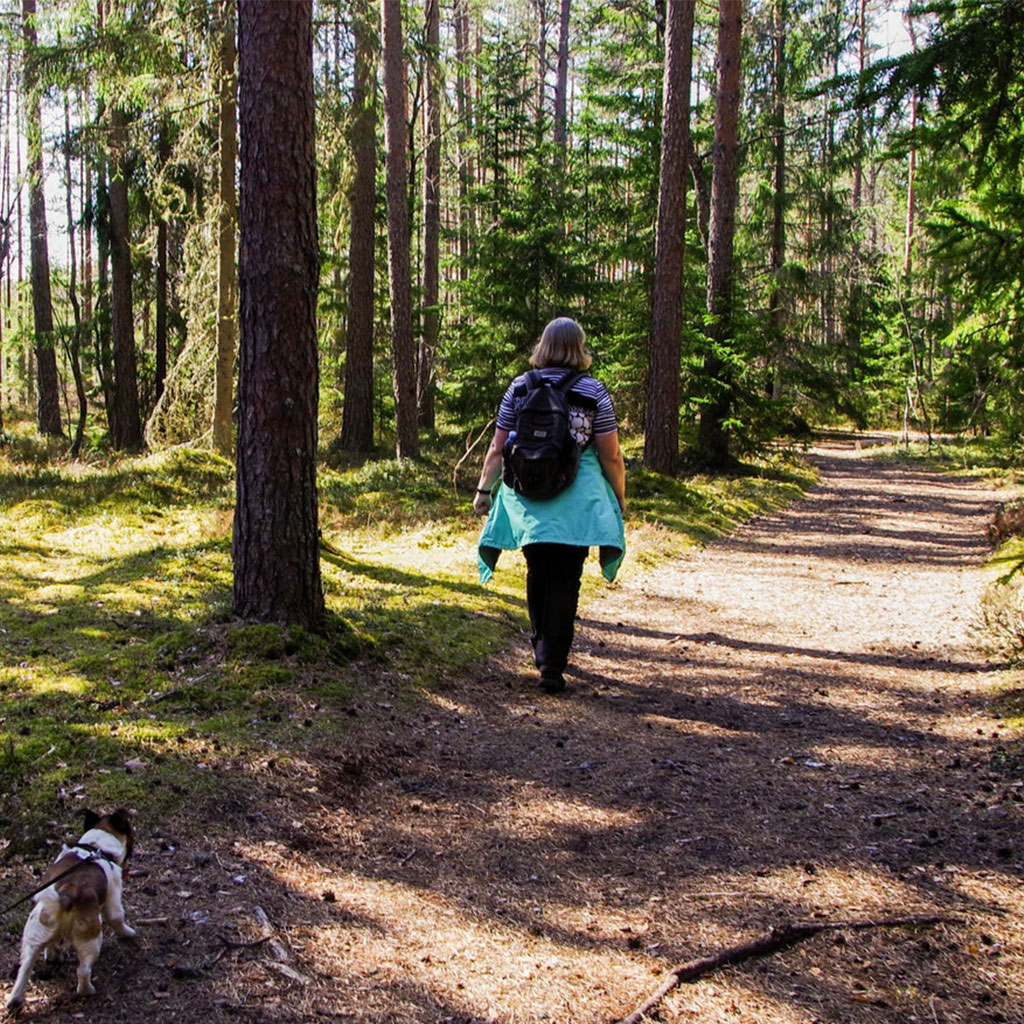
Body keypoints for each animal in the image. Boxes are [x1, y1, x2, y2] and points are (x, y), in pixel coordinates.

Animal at [4, 806, 138, 1015]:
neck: (96, 846)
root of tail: (66, 895)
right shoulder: (113, 899)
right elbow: (118, 919)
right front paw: (128, 933)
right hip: (91, 938)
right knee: (83, 970)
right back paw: (87, 990)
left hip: (34, 932)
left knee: (25, 968)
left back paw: (16, 998)